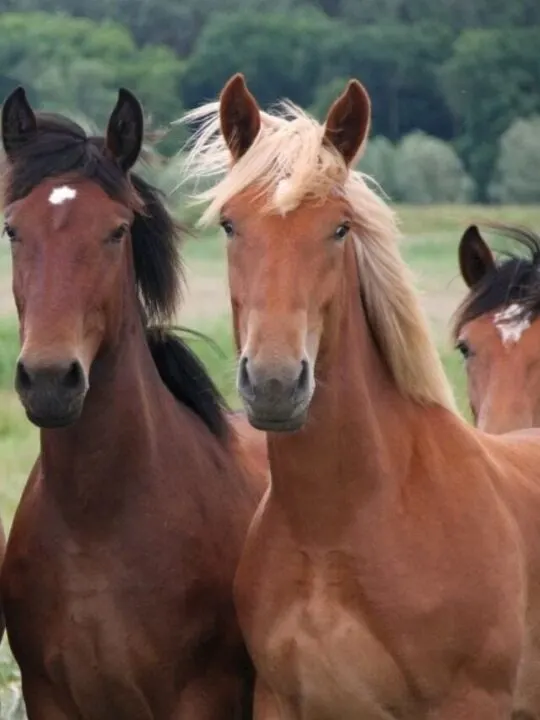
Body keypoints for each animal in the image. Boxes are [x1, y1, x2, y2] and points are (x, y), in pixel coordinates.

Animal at [0, 86, 267, 719]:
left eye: (117, 231)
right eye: (13, 230)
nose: (50, 379)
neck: (95, 525)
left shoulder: (200, 700)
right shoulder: (50, 699)